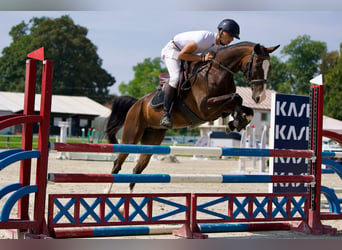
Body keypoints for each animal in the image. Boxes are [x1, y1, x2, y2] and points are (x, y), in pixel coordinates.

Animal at [105, 42, 280, 192]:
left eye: (269, 66)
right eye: (257, 64)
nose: (260, 97)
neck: (218, 72)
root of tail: (137, 103)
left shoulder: (220, 106)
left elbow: (244, 106)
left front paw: (236, 122)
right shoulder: (205, 108)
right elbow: (237, 97)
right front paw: (236, 121)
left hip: (152, 138)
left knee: (137, 169)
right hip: (131, 135)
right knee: (117, 164)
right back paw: (107, 191)